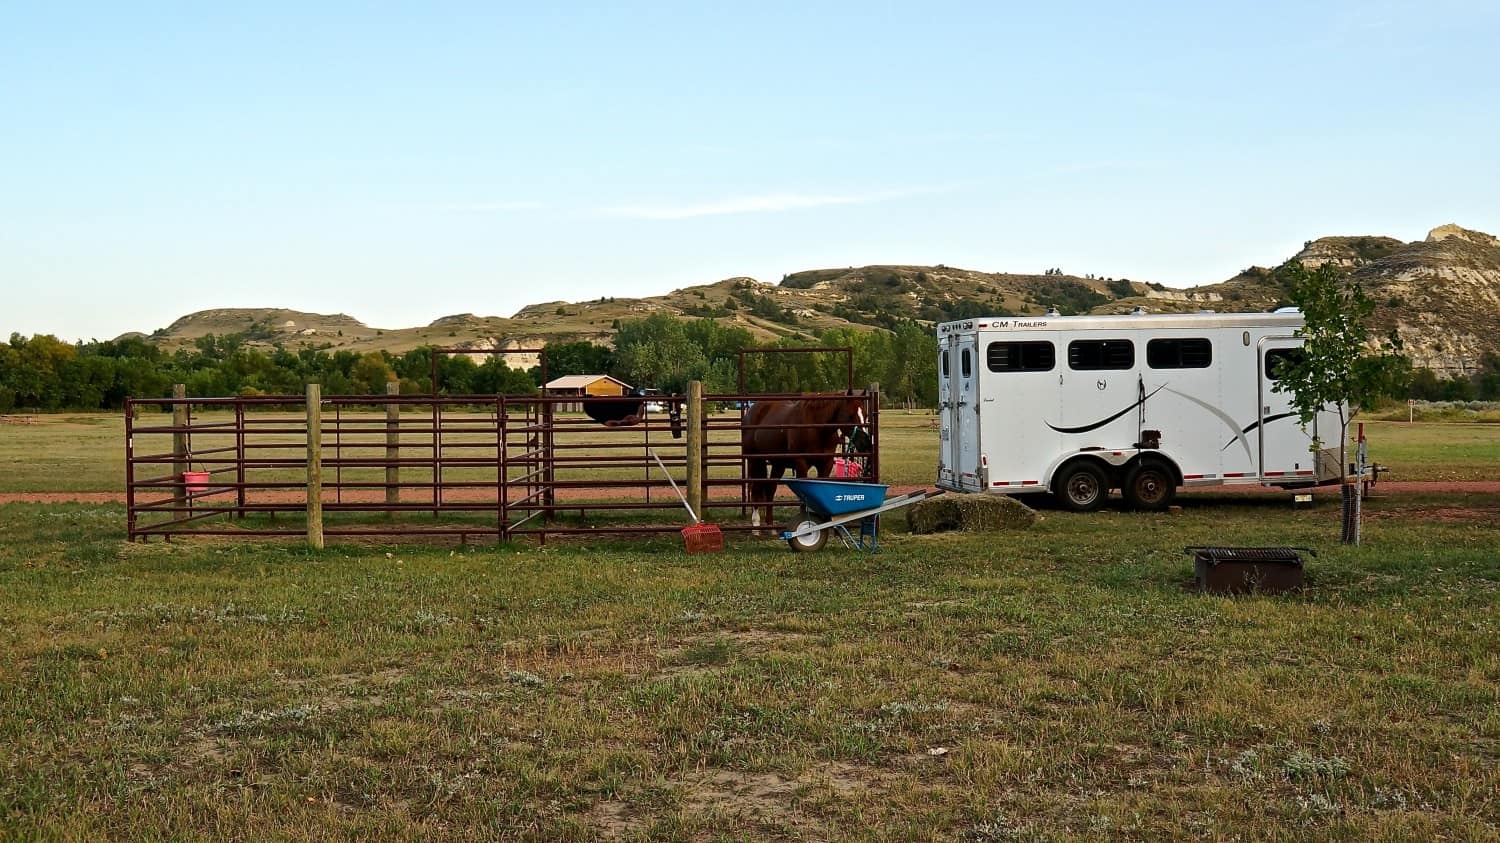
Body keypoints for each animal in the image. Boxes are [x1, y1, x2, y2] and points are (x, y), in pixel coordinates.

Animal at [744, 393, 876, 525]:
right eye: (850, 415)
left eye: (865, 415)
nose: (865, 443)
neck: (817, 429)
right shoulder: (801, 464)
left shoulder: (826, 465)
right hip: (755, 460)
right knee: (756, 488)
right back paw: (756, 522)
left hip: (779, 463)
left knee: (771, 488)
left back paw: (770, 523)